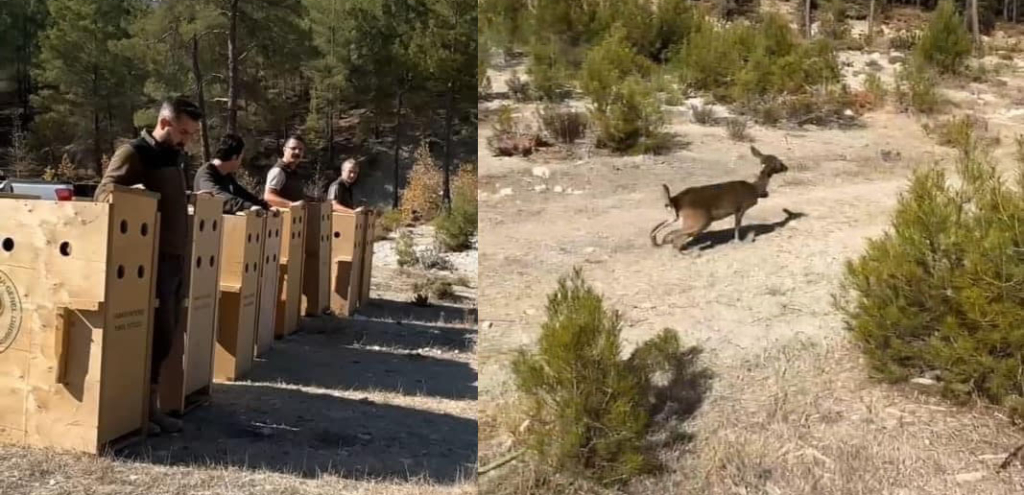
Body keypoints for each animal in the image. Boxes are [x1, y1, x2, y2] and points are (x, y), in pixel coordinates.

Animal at [647, 145, 790, 250]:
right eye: (779, 162)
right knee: (673, 236)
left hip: (676, 217)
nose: (786, 167)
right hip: (700, 221)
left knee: (658, 231)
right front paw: (738, 241)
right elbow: (737, 225)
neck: (754, 189)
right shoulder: (741, 208)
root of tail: (675, 200)